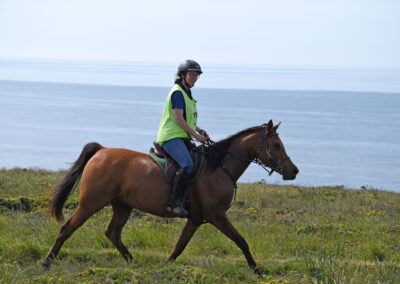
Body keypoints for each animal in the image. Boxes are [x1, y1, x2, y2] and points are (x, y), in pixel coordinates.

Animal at [42, 120, 296, 276]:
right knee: (67, 228)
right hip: (91, 203)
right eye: (276, 145)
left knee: (112, 233)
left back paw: (134, 262)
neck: (219, 167)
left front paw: (166, 267)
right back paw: (46, 262)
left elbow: (179, 246)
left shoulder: (196, 219)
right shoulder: (216, 215)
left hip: (123, 206)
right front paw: (257, 271)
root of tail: (102, 151)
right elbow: (241, 241)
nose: (294, 171)